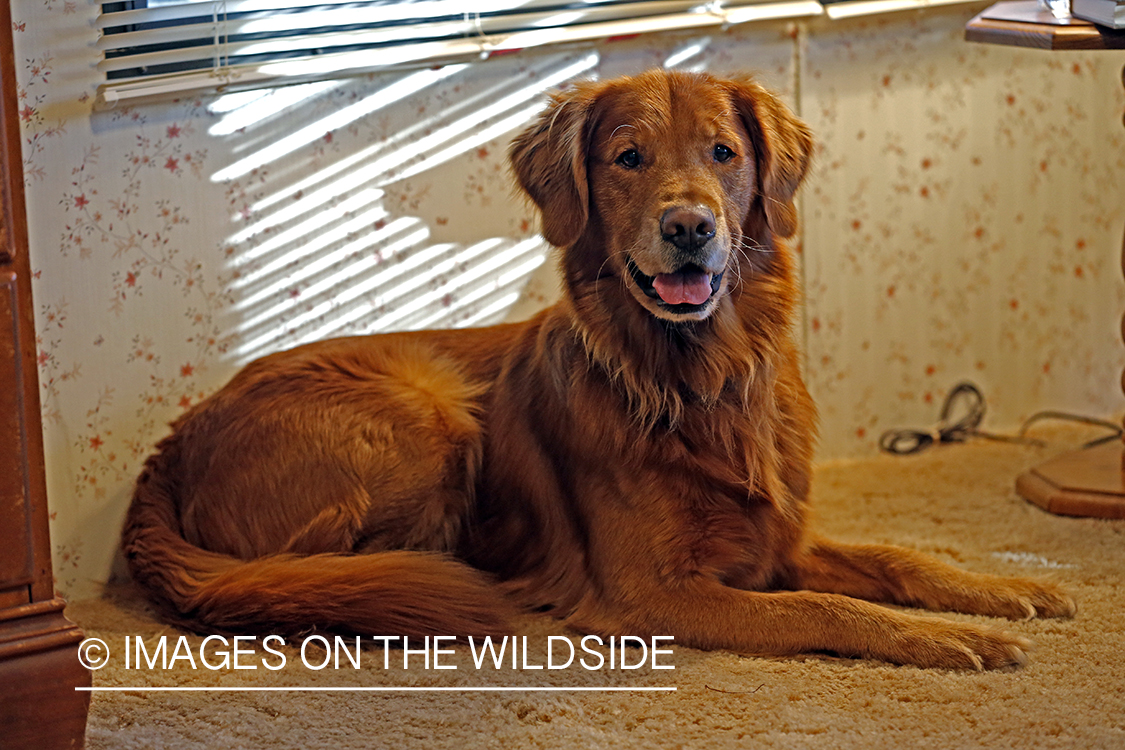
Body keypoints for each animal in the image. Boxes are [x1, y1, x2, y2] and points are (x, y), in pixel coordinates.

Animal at [120, 68, 1071, 670]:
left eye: (723, 153)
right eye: (628, 158)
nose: (688, 227)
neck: (704, 379)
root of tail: (167, 449)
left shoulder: (780, 541)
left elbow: (900, 559)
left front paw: (999, 589)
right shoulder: (656, 594)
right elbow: (823, 607)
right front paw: (937, 640)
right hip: (429, 413)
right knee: (313, 581)